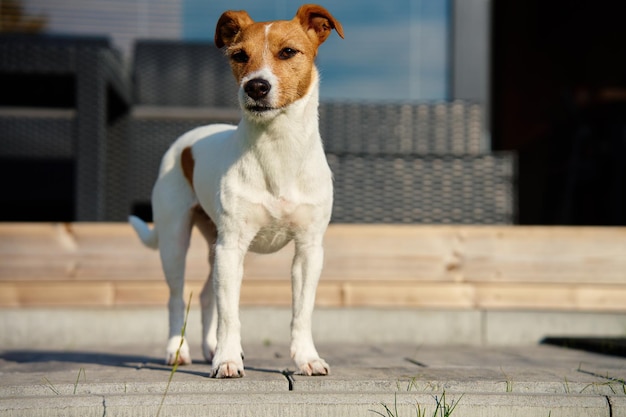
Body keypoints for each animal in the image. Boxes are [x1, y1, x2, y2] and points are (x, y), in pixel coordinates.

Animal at [127, 4, 342, 378]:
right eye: (239, 55)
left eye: (288, 52)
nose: (256, 86)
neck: (278, 149)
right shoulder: (231, 248)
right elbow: (231, 314)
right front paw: (227, 359)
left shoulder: (309, 250)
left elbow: (301, 312)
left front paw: (307, 358)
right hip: (175, 242)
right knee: (176, 296)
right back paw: (177, 351)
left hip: (213, 245)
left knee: (204, 296)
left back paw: (209, 347)